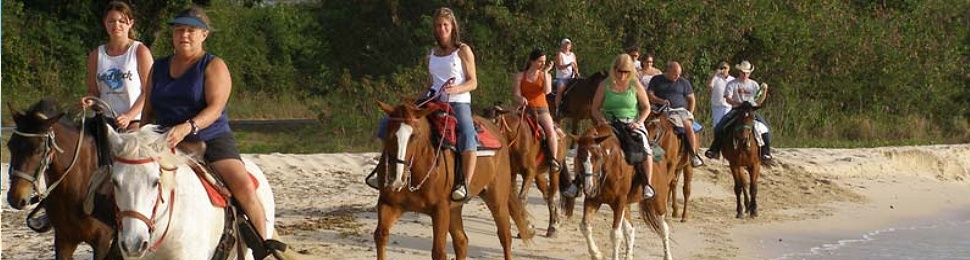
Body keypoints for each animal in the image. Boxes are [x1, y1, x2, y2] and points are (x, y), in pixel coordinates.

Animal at [372, 100, 536, 258]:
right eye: (389, 134)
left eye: (415, 136)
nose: (396, 178)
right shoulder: (388, 203)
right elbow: (380, 236)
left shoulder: (440, 209)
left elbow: (439, 251)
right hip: (455, 208)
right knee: (462, 241)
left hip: (497, 200)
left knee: (505, 236)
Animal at [478, 103, 564, 238]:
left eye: (494, 121)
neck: (517, 139)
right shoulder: (513, 173)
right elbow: (517, 200)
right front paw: (528, 227)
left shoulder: (529, 172)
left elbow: (522, 198)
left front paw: (527, 228)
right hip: (539, 174)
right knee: (547, 194)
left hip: (554, 172)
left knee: (553, 196)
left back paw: (553, 227)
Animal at [572, 124, 668, 260]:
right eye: (579, 157)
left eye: (598, 157)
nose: (589, 188)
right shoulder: (593, 200)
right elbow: (585, 226)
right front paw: (596, 254)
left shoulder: (619, 201)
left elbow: (615, 235)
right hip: (626, 204)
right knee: (630, 230)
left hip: (658, 199)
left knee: (664, 228)